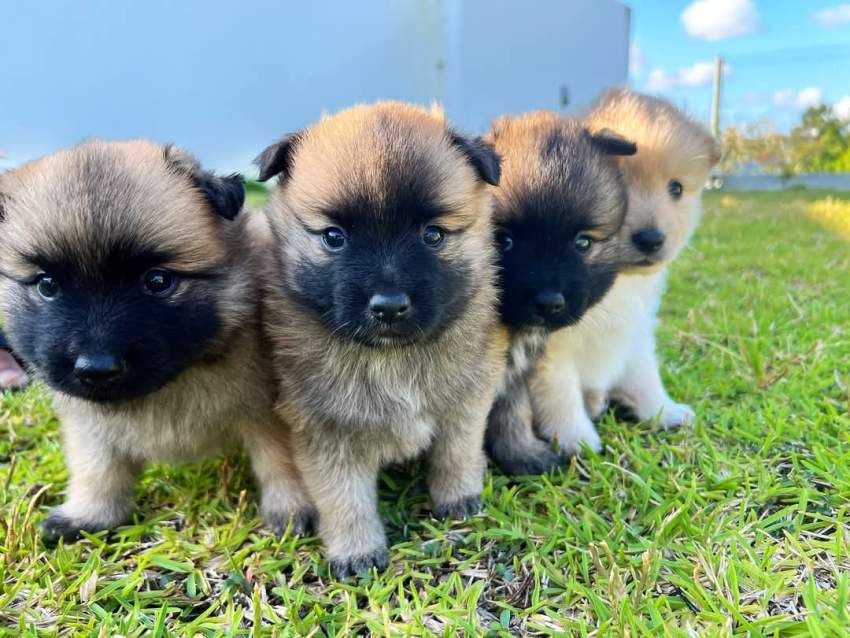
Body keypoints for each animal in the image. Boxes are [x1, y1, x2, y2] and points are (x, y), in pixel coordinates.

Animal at [0, 139, 312, 540]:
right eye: (47, 285)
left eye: (158, 281)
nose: (96, 369)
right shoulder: (89, 423)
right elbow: (97, 467)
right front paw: (89, 514)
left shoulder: (273, 413)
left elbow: (283, 462)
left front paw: (292, 509)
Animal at [256, 101, 504, 580]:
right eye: (334, 238)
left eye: (433, 235)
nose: (389, 306)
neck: (392, 359)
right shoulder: (325, 433)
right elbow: (345, 498)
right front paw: (357, 551)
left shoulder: (466, 401)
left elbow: (457, 452)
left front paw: (459, 497)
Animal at [480, 114, 632, 476]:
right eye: (504, 240)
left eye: (583, 243)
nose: (548, 303)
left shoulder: (517, 374)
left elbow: (513, 411)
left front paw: (522, 454)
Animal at [532, 89, 720, 456]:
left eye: (676, 189)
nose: (651, 238)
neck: (616, 285)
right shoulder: (552, 351)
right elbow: (561, 395)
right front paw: (577, 437)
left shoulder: (635, 334)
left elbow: (646, 378)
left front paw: (664, 411)